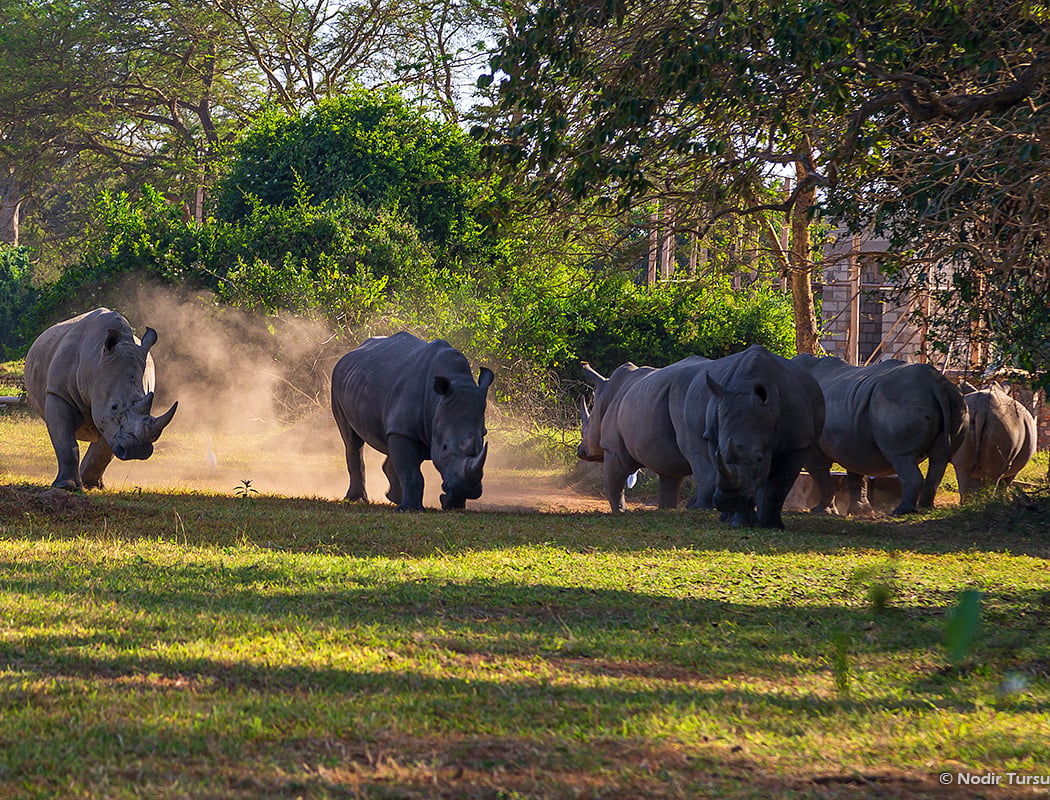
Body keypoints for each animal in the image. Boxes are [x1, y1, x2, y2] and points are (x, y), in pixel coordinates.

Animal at [23, 308, 178, 491]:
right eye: (114, 406)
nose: (138, 451)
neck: (94, 364)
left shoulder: (110, 421)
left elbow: (103, 451)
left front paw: (91, 486)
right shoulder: (58, 393)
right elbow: (66, 444)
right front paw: (66, 486)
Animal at [331, 332, 493, 511]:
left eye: (481, 443)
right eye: (444, 447)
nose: (470, 490)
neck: (437, 401)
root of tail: (352, 352)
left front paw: (454, 504)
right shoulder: (404, 431)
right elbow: (412, 474)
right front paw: (410, 509)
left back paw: (393, 497)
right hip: (337, 382)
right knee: (351, 440)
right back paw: (357, 499)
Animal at [578, 356, 710, 512]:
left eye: (585, 430)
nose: (580, 451)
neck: (606, 395)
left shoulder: (612, 448)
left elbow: (613, 486)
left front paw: (622, 511)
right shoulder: (667, 460)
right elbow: (668, 488)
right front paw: (666, 510)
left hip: (689, 397)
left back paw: (697, 508)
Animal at [683, 345, 825, 529]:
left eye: (759, 458)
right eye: (720, 452)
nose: (729, 501)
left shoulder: (797, 444)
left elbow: (778, 485)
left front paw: (772, 525)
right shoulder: (713, 437)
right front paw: (740, 523)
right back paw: (729, 519)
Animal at [793, 354, 967, 516]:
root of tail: (935, 384)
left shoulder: (815, 449)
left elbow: (822, 477)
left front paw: (822, 511)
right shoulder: (852, 441)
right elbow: (856, 476)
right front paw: (860, 511)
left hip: (900, 403)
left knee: (901, 456)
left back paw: (901, 511)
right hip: (956, 402)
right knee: (939, 460)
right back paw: (925, 509)